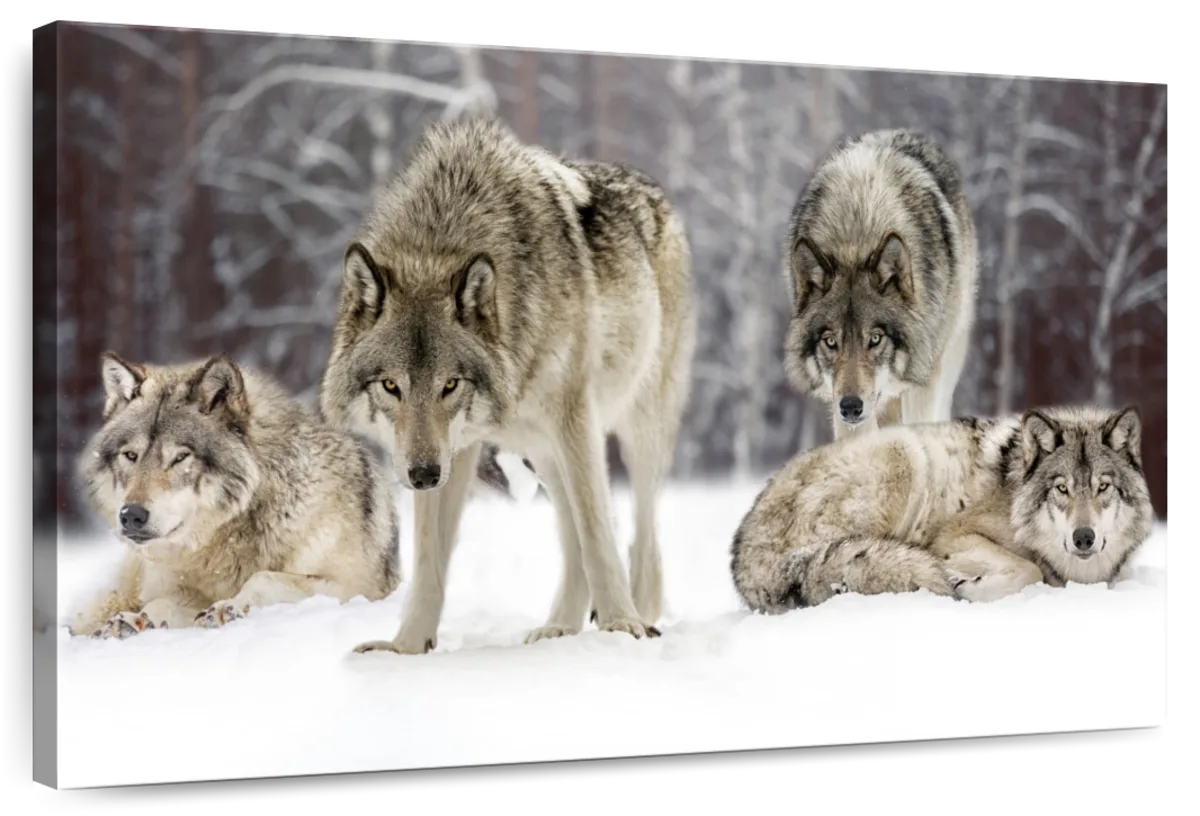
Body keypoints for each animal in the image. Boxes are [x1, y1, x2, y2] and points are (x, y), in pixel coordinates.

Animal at [69, 351, 401, 639]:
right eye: (131, 455)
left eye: (180, 457)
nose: (131, 515)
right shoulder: (180, 590)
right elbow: (162, 603)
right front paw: (135, 622)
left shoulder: (358, 589)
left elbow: (263, 578)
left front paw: (227, 608)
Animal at [320, 117, 696, 654]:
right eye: (391, 385)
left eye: (450, 384)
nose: (422, 476)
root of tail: (652, 187)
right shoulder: (452, 448)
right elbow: (429, 560)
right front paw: (406, 648)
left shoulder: (573, 417)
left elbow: (597, 531)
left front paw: (621, 625)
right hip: (540, 450)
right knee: (572, 536)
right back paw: (559, 627)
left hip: (634, 429)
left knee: (640, 539)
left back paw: (636, 616)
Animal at [730, 404, 1154, 613]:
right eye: (1061, 489)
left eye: (1103, 487)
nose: (1084, 538)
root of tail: (742, 556)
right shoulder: (954, 534)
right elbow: (1029, 569)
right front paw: (971, 588)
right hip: (903, 451)